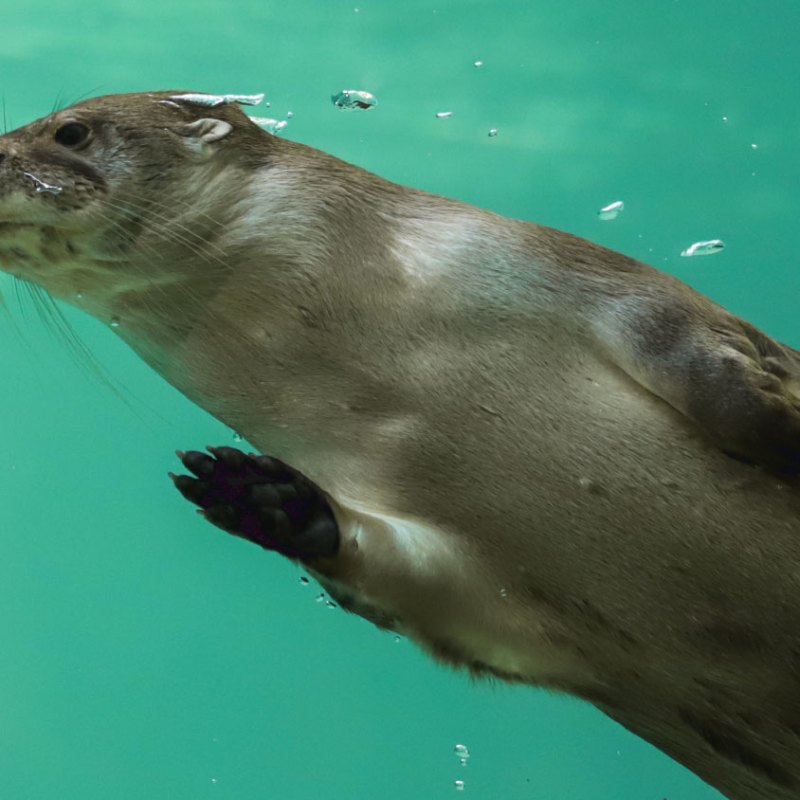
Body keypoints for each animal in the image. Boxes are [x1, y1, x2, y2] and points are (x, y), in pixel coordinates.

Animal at [0, 91, 799, 800]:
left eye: (70, 131)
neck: (399, 373)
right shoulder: (493, 587)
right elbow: (426, 593)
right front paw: (263, 498)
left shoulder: (584, 280)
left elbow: (715, 370)